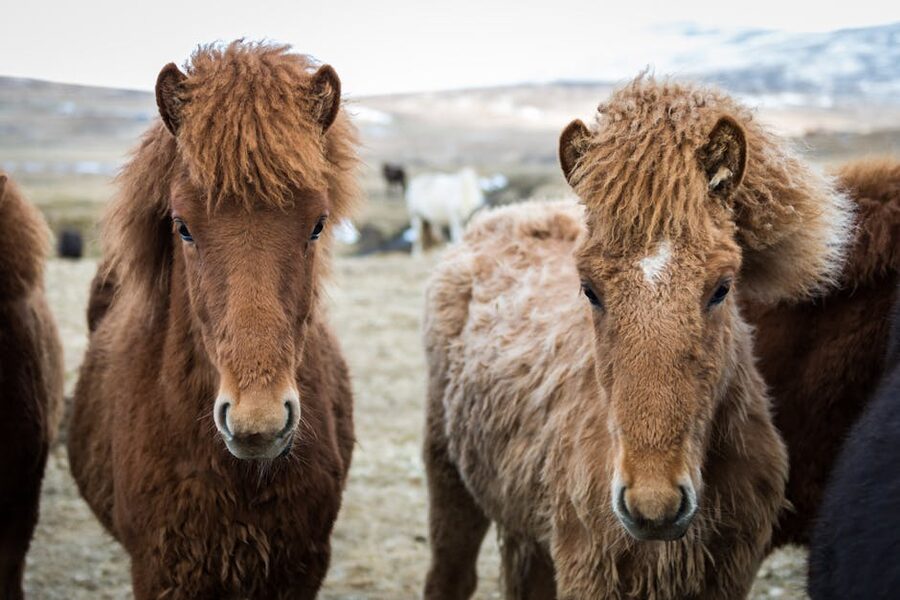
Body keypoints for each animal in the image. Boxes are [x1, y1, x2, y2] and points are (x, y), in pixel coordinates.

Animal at [422, 76, 854, 599]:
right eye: (589, 289)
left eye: (722, 287)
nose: (654, 505)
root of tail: (502, 217)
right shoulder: (589, 572)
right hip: (449, 482)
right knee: (449, 575)